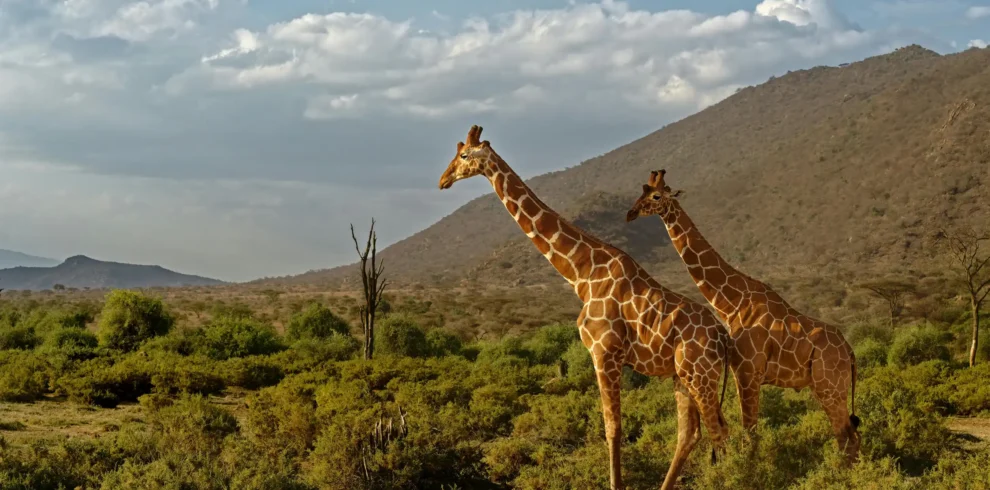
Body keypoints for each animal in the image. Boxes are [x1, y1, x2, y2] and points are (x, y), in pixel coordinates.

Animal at [439, 126, 731, 490]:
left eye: (464, 155)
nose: (443, 180)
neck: (582, 274)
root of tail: (724, 338)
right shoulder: (608, 356)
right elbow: (615, 429)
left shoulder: (604, 353)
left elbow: (613, 430)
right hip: (683, 376)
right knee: (690, 434)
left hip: (700, 375)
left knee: (719, 431)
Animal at [625, 169, 861, 464]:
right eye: (641, 191)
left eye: (656, 196)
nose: (630, 213)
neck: (733, 302)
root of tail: (850, 352)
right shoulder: (744, 372)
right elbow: (749, 432)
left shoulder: (747, 372)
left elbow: (750, 434)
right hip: (828, 388)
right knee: (850, 436)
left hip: (830, 387)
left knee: (846, 437)